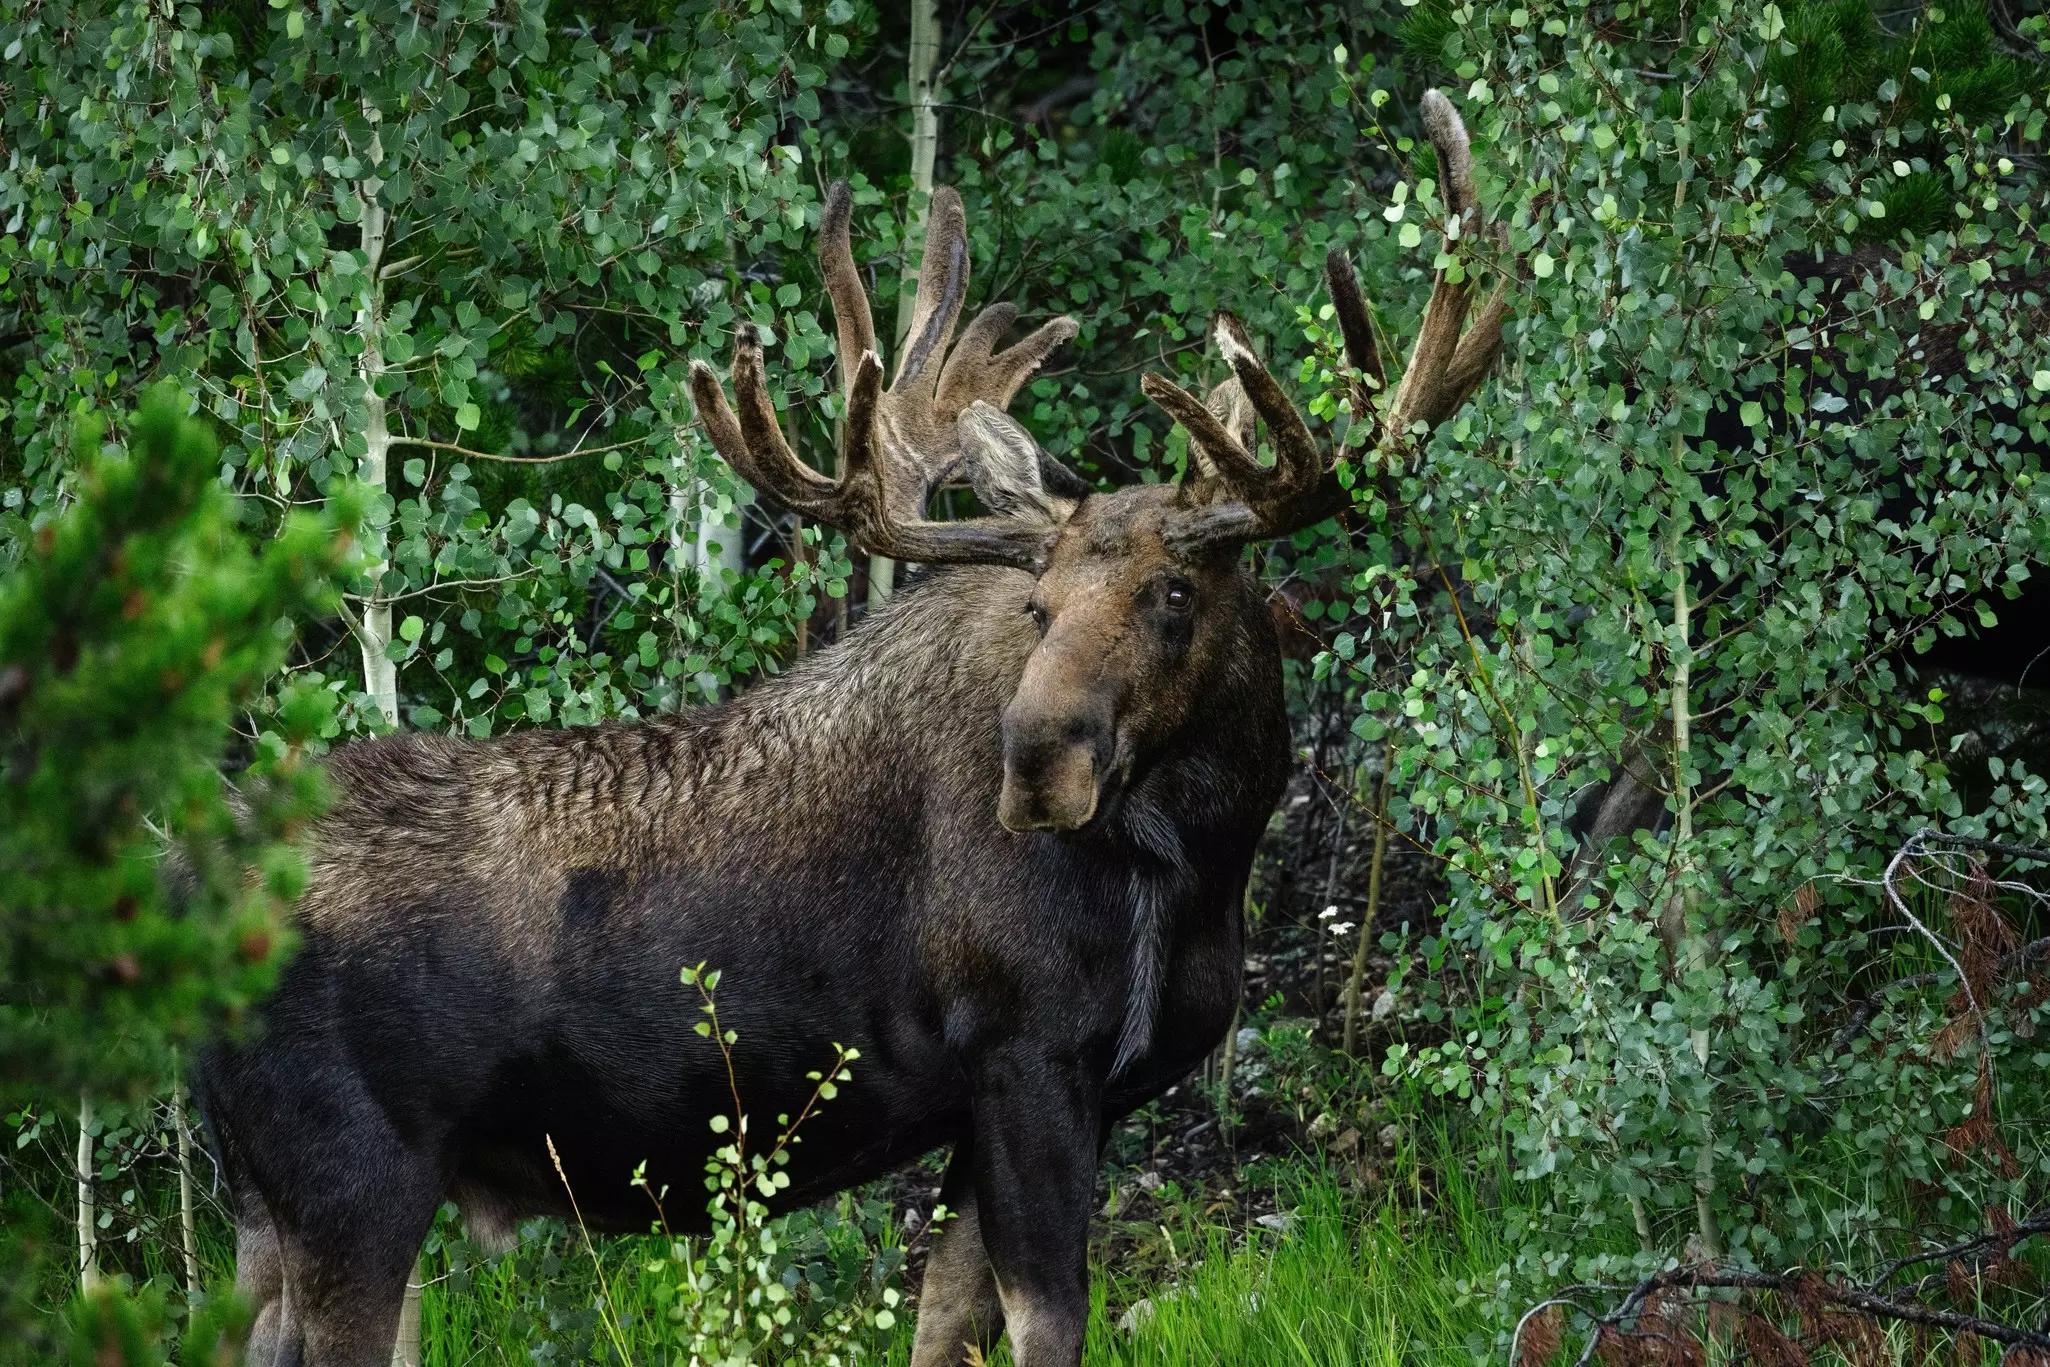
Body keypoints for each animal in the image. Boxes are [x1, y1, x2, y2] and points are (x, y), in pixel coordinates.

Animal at [192, 89, 1506, 1367]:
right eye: (1038, 604)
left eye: (1173, 592)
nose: (1038, 763)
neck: (1198, 858)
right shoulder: (1029, 1059)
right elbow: (1046, 1323)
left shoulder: (1011, 1100)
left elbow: (944, 1321)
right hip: (353, 1180)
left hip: (267, 1205)